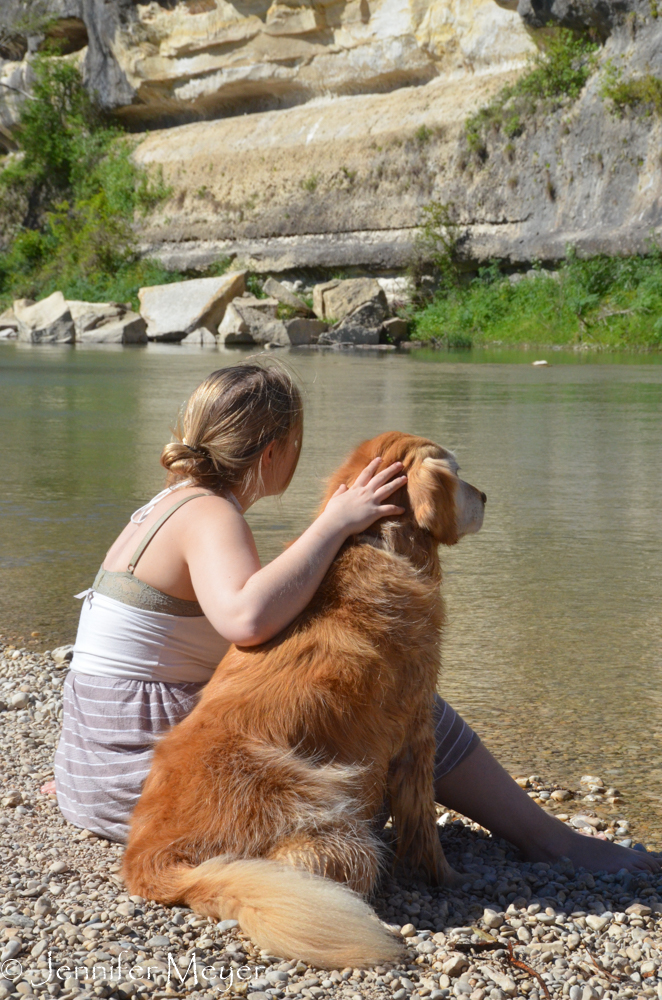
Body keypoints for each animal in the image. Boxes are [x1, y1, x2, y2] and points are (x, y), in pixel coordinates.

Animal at [123, 430, 488, 968]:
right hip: (334, 827)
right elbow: (424, 825)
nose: (485, 496)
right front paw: (450, 878)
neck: (372, 542)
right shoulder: (419, 727)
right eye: (458, 474)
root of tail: (146, 859)